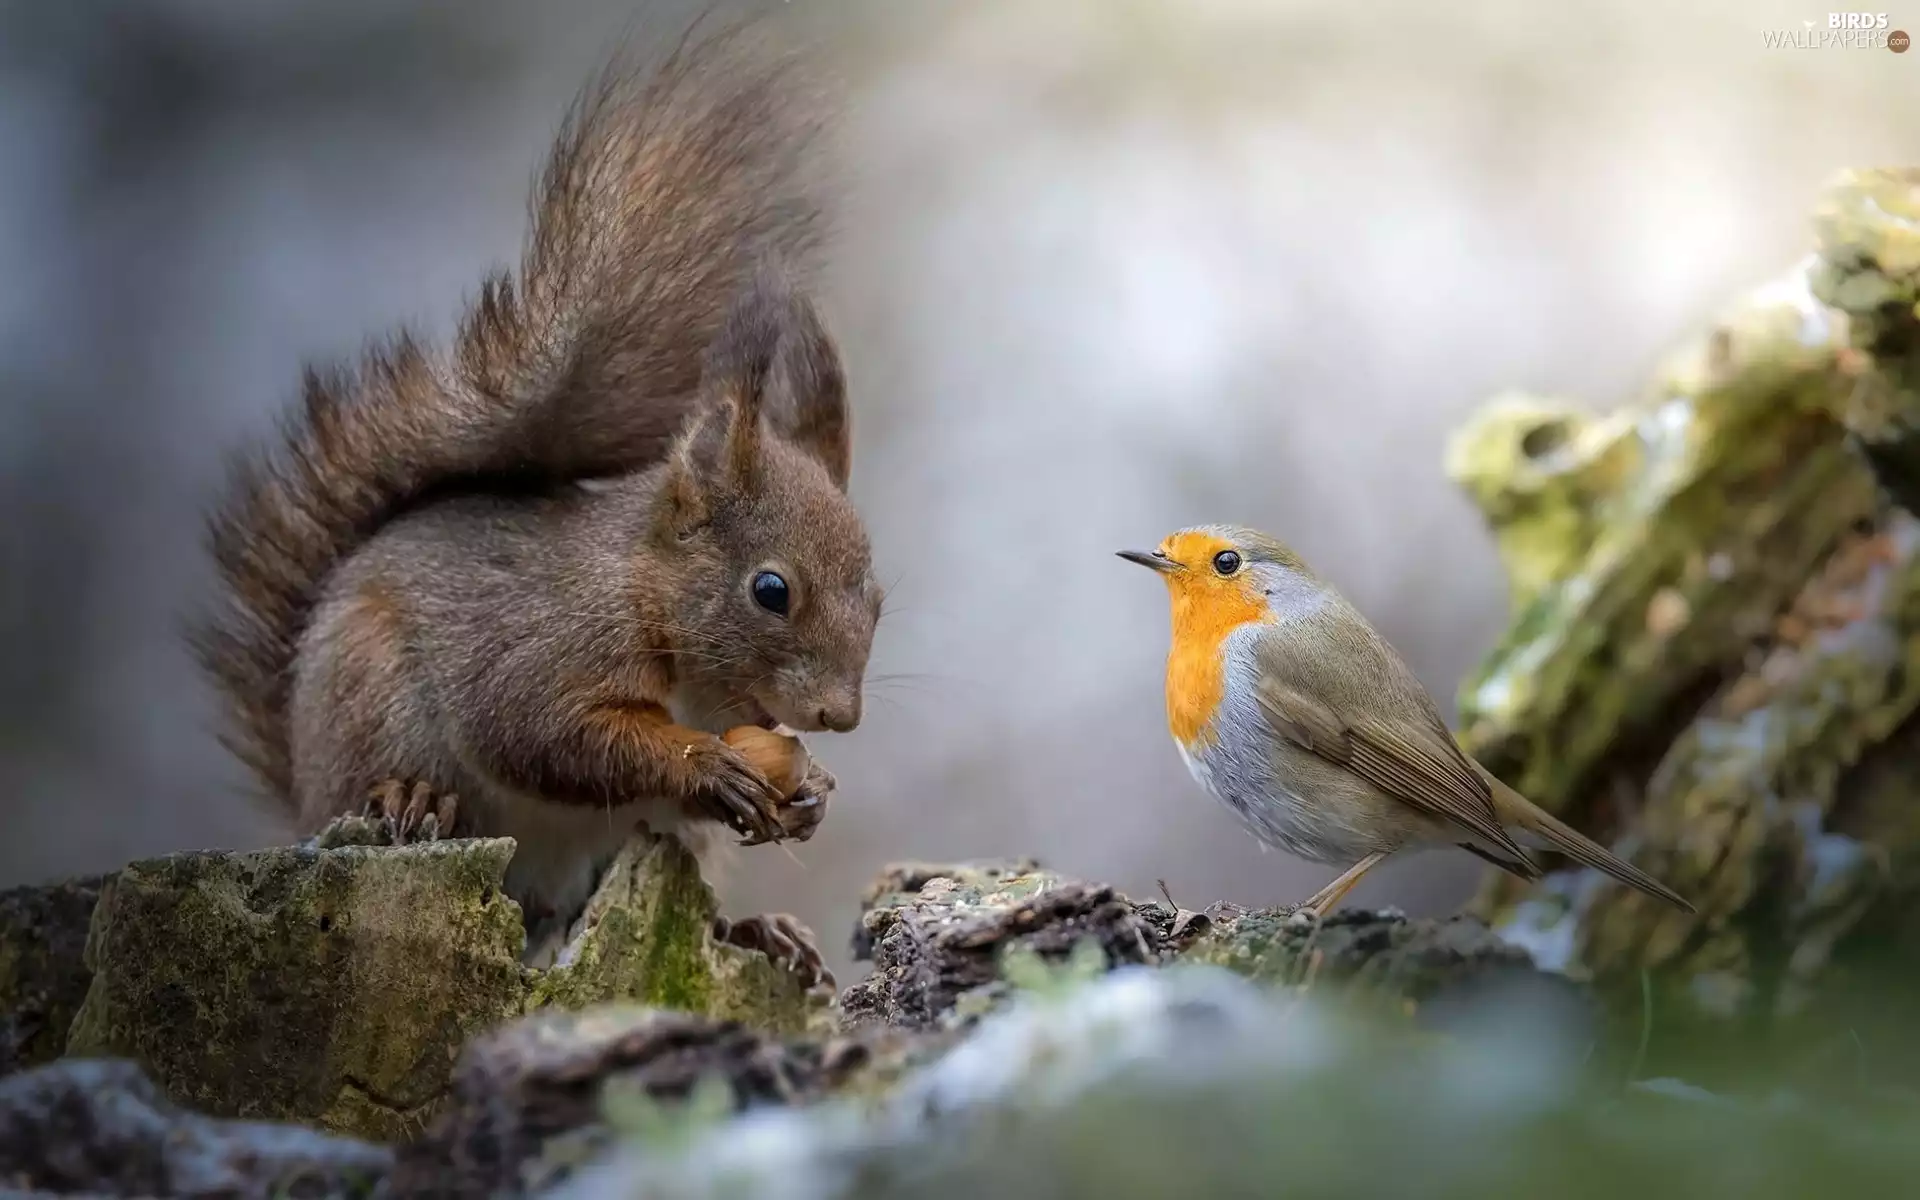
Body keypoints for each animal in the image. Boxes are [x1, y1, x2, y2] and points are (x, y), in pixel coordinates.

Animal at [188, 18, 880, 986]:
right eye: (770, 590)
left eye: (878, 595)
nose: (838, 717)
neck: (653, 607)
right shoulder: (542, 647)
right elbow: (547, 735)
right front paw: (704, 764)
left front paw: (810, 793)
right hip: (368, 707)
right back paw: (410, 799)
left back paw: (754, 933)